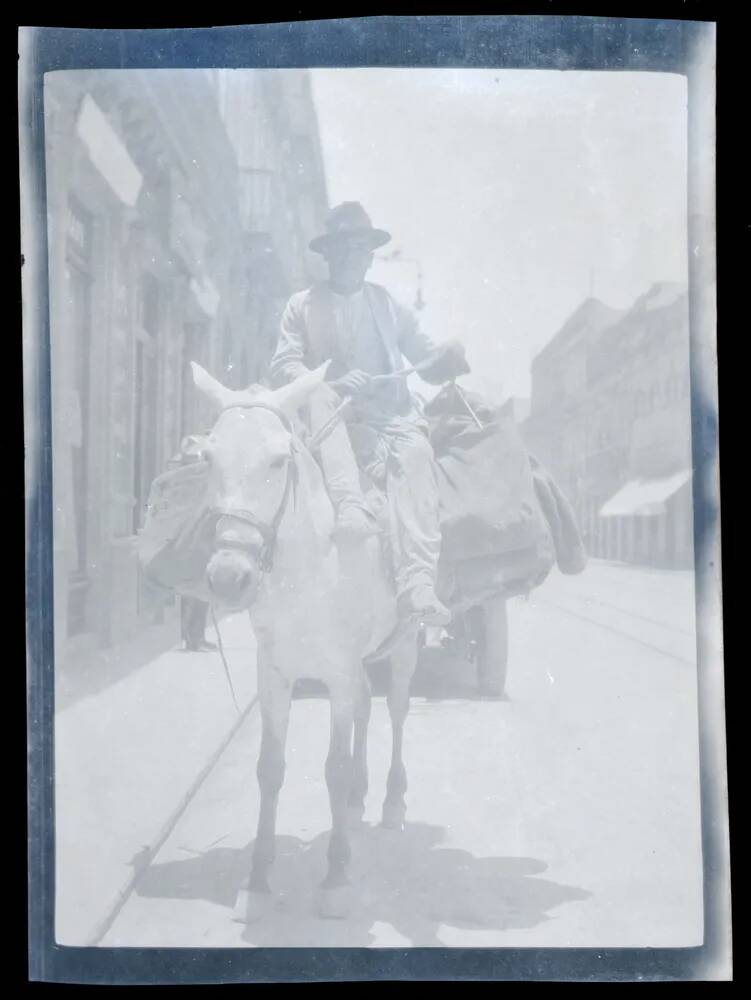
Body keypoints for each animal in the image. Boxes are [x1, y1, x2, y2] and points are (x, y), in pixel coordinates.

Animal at [189, 362, 424, 920]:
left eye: (280, 459)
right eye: (209, 457)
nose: (229, 577)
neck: (310, 567)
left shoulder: (336, 672)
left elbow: (332, 768)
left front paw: (336, 876)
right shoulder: (274, 675)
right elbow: (270, 768)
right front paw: (258, 876)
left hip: (404, 644)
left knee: (396, 710)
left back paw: (391, 800)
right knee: (365, 705)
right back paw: (360, 796)